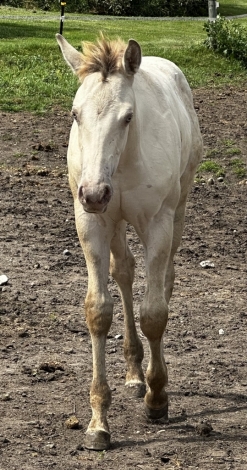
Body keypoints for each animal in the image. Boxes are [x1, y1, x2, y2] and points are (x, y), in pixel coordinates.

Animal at [56, 33, 203, 452]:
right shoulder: (92, 222)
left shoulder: (157, 223)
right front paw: (98, 422)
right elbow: (98, 310)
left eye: (128, 117)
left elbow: (154, 313)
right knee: (123, 271)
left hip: (178, 208)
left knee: (165, 278)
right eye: (75, 114)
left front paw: (158, 398)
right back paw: (135, 371)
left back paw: (151, 376)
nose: (93, 192)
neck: (119, 164)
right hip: (115, 219)